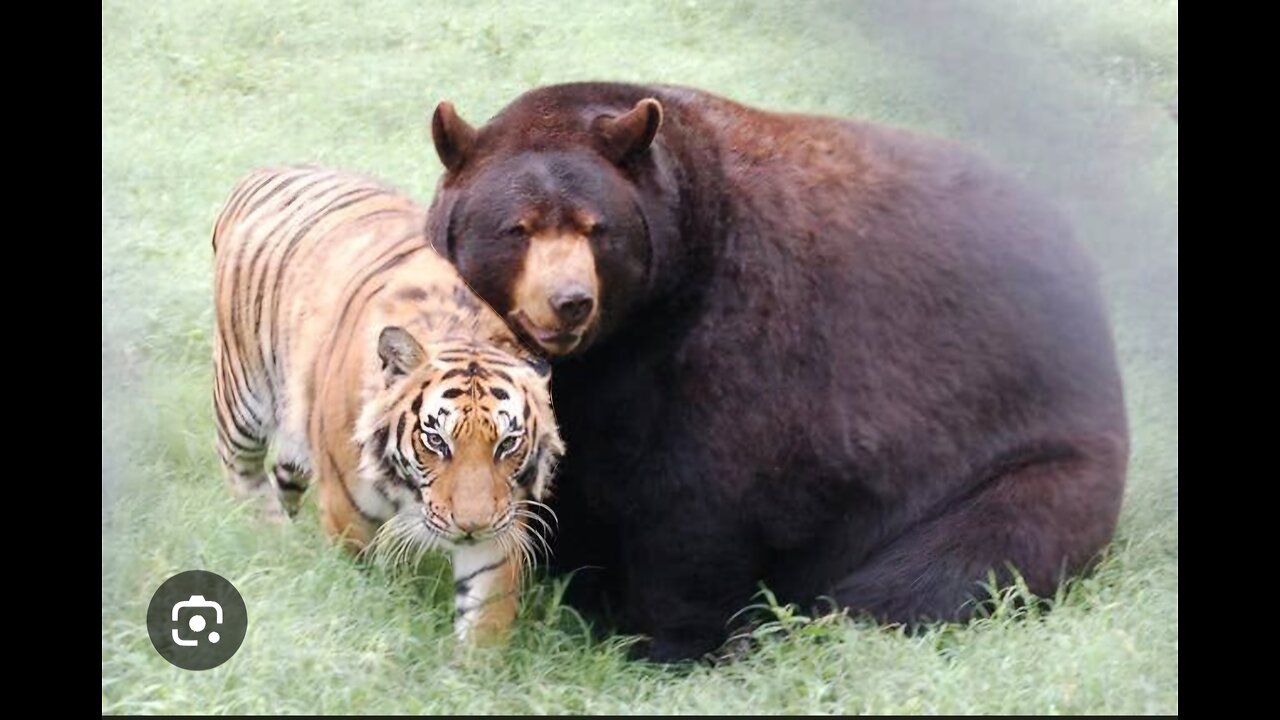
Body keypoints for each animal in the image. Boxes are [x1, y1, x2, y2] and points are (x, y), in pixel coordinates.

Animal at [212, 165, 563, 640]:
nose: (470, 526)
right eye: (436, 441)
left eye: (507, 444)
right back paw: (269, 535)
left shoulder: (500, 525)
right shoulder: (348, 514)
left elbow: (484, 616)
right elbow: (359, 579)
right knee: (244, 473)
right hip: (240, 396)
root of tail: (264, 170)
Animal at [424, 81, 1126, 661]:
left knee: (947, 565)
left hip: (1028, 456)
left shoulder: (736, 337)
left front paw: (667, 643)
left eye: (597, 229)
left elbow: (700, 500)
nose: (570, 300)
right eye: (518, 228)